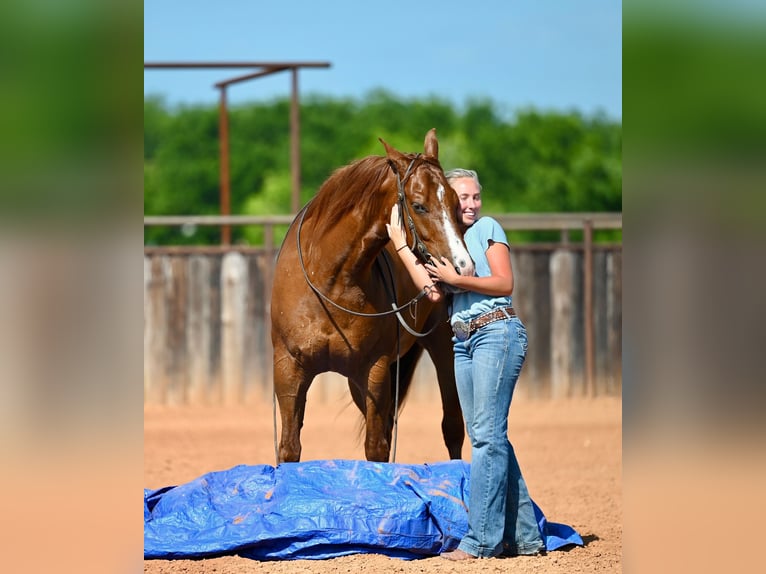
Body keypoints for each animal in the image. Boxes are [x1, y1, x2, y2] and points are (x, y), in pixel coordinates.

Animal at [270, 129, 474, 463]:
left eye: (457, 203)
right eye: (419, 205)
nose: (463, 267)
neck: (329, 281)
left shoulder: (374, 371)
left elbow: (376, 448)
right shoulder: (289, 369)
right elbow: (289, 447)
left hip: (442, 346)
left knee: (452, 426)